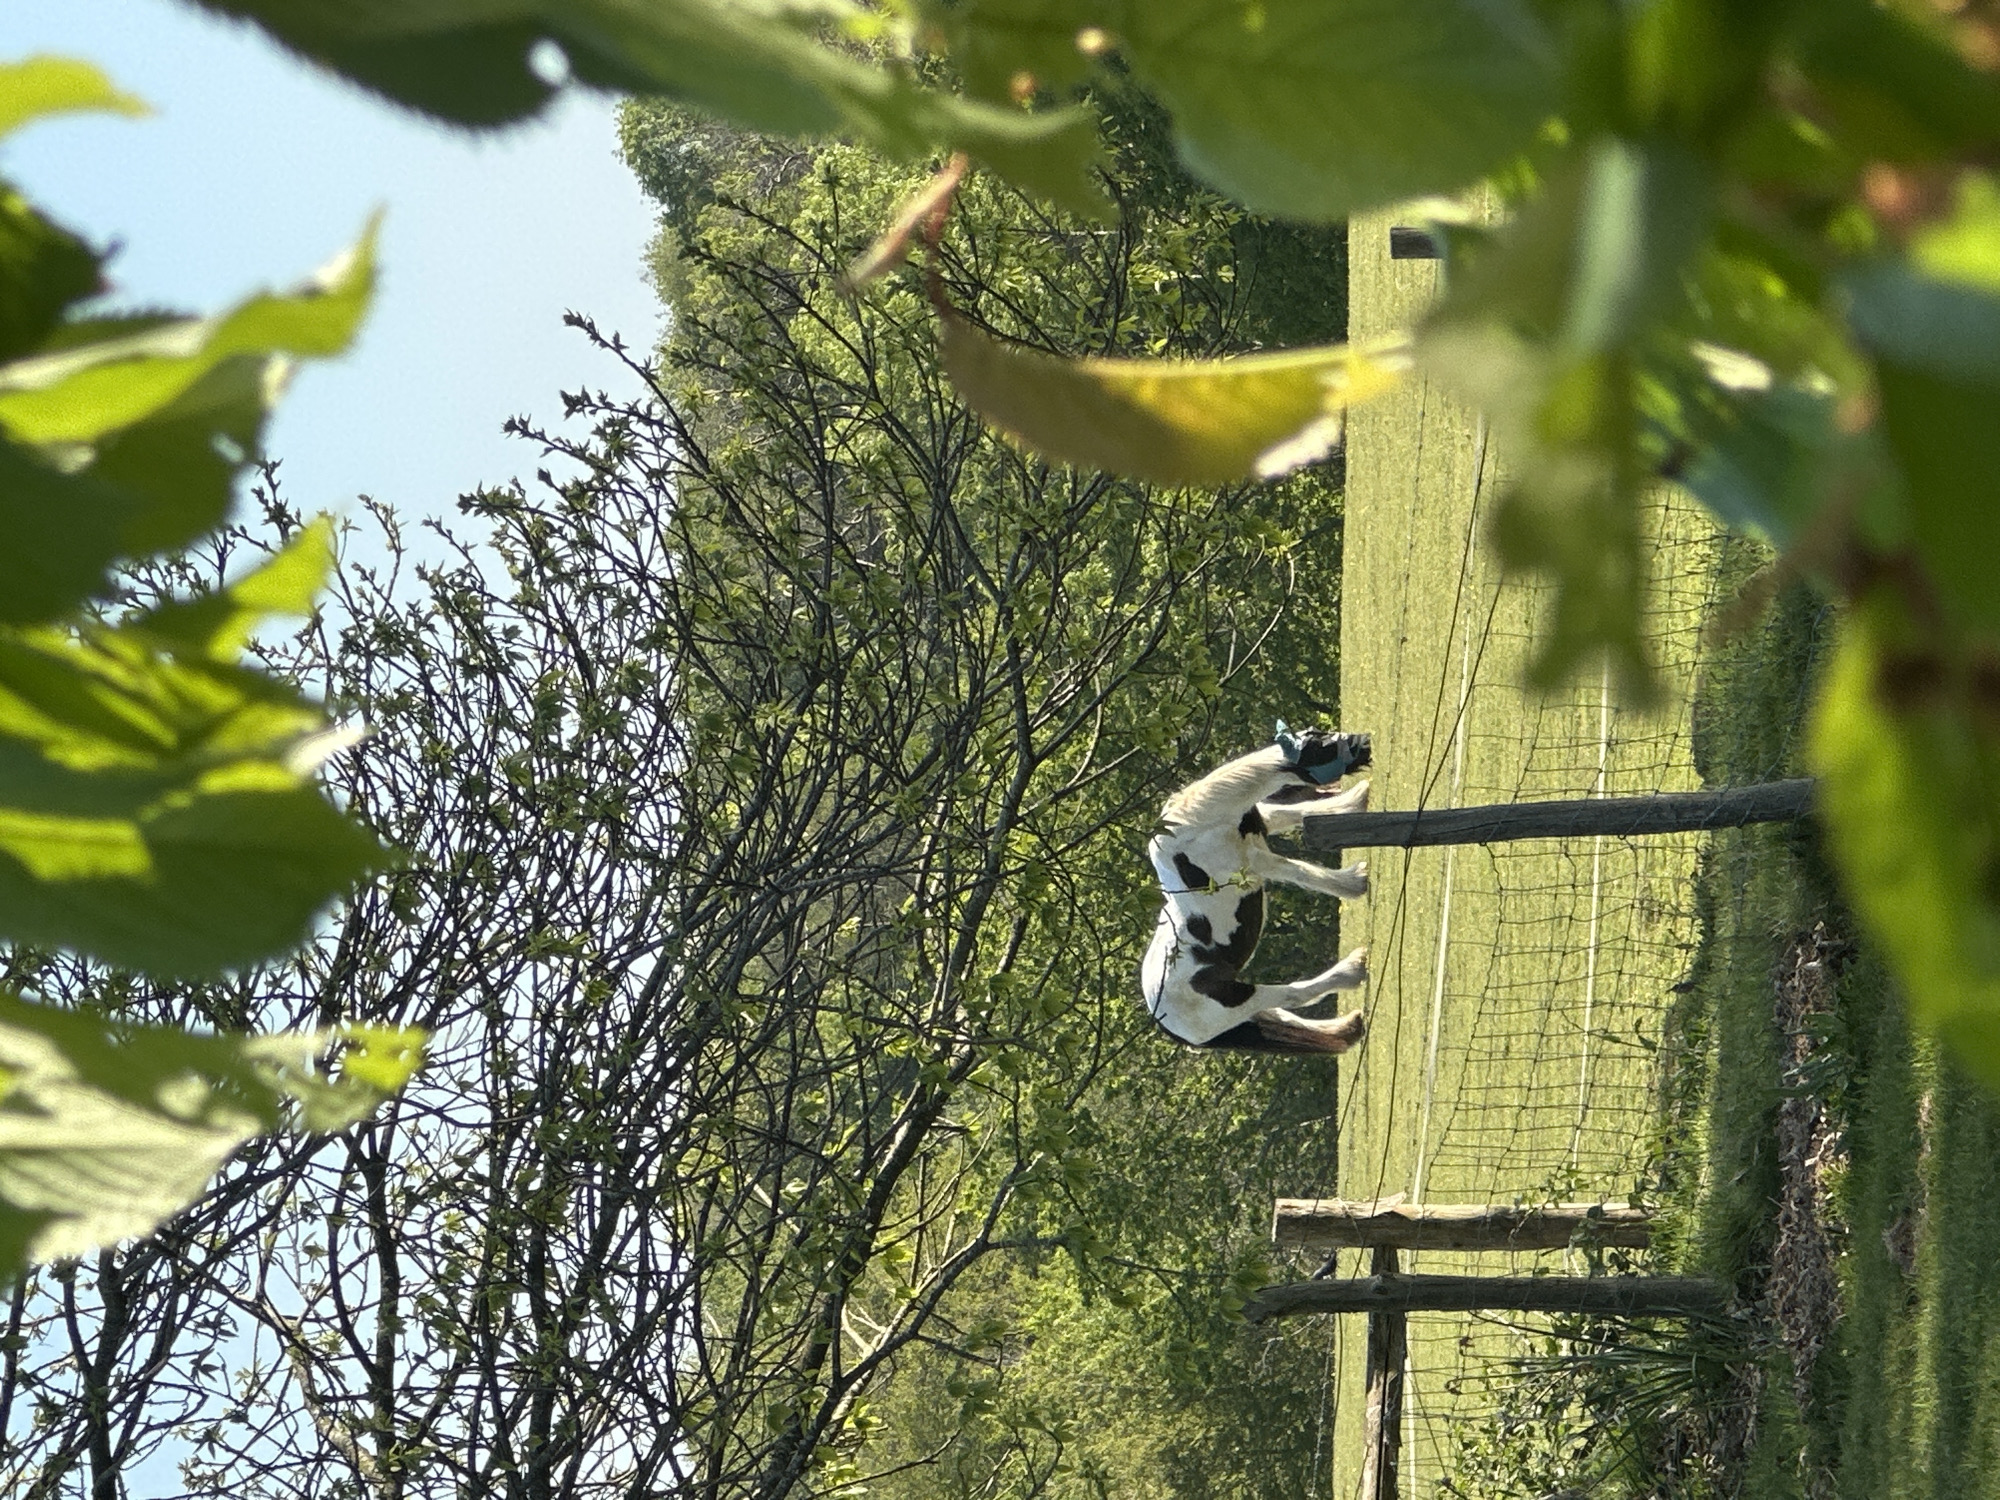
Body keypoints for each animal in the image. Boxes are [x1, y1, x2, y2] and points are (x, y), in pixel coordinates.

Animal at [1140, 725, 1373, 1055]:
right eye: (1324, 746)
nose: (1366, 743)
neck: (1196, 829)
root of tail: (1161, 1019)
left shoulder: (1262, 826)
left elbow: (1299, 813)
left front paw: (1355, 799)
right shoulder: (1255, 863)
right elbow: (1301, 871)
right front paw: (1356, 881)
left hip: (1245, 1015)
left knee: (1286, 1015)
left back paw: (1349, 1024)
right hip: (1241, 1000)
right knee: (1295, 994)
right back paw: (1353, 969)